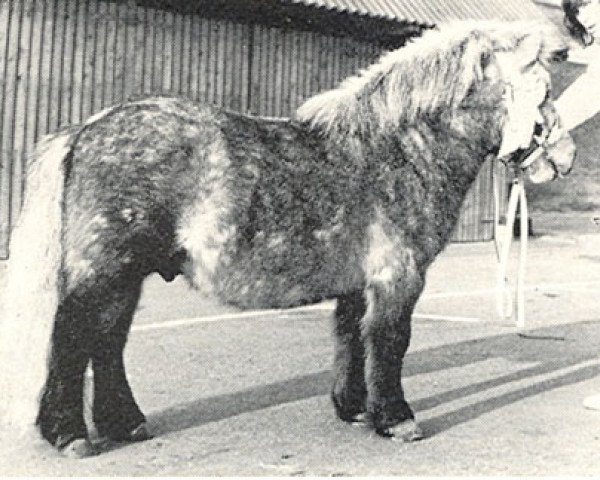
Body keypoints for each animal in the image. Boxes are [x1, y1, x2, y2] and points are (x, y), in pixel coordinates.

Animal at [0, 21, 576, 458]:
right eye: (544, 93)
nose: (566, 158)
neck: (399, 149)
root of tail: (83, 130)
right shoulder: (399, 277)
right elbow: (390, 343)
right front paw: (396, 419)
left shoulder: (358, 280)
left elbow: (351, 336)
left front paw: (355, 409)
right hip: (106, 267)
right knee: (73, 334)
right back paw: (70, 435)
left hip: (125, 273)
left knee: (107, 339)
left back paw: (124, 424)